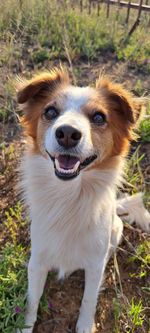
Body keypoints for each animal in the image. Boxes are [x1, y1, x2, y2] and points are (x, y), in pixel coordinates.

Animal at [15, 67, 149, 332]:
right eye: (50, 112)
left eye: (98, 117)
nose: (67, 133)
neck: (69, 198)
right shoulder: (37, 262)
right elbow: (31, 302)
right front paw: (23, 326)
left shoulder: (94, 266)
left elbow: (89, 299)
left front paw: (85, 325)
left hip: (116, 229)